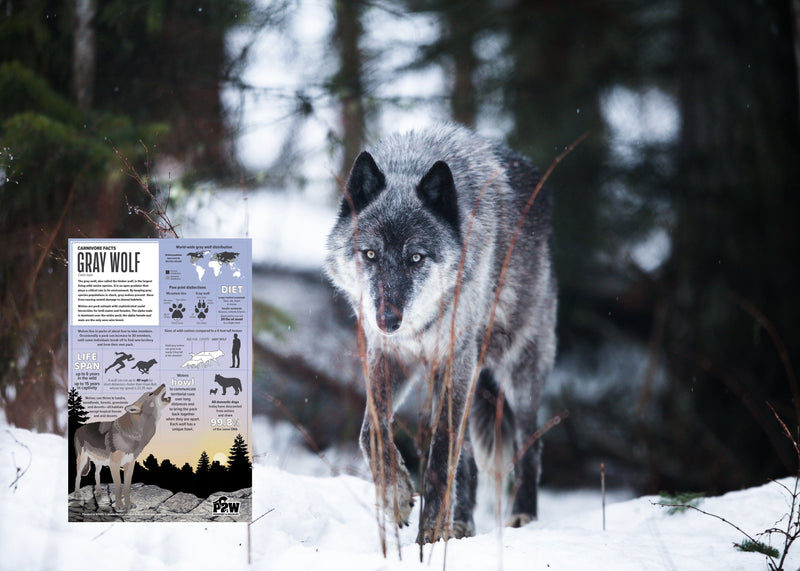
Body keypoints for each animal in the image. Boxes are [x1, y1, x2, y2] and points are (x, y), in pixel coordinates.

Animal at [325, 124, 556, 544]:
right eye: (370, 254)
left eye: (416, 257)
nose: (387, 320)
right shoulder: (390, 357)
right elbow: (371, 432)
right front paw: (397, 498)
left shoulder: (456, 360)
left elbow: (441, 455)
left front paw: (429, 537)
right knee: (470, 460)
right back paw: (461, 525)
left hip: (518, 372)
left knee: (529, 445)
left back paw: (522, 518)